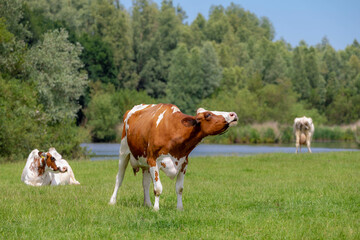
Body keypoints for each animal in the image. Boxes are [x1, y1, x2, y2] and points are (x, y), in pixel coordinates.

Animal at [109, 103, 239, 210]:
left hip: (144, 161)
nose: (233, 114)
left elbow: (179, 188)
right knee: (119, 178)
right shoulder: (153, 160)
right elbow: (158, 188)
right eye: (208, 114)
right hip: (123, 151)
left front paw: (179, 208)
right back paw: (112, 201)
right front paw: (156, 209)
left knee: (145, 183)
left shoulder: (183, 163)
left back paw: (148, 204)